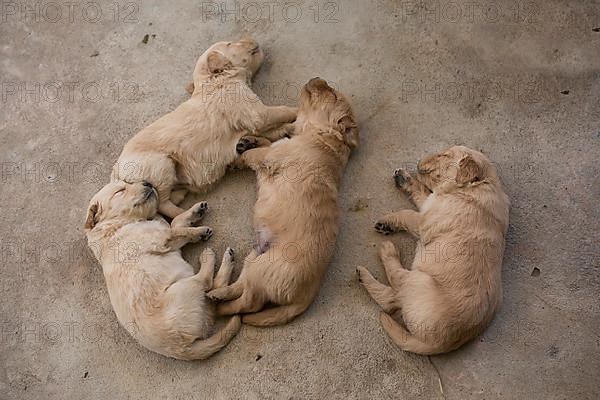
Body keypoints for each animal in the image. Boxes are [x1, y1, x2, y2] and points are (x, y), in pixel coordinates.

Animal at [84, 180, 241, 360]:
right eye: (120, 191)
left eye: (128, 183)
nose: (147, 182)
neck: (117, 224)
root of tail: (182, 350)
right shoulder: (161, 239)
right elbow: (178, 230)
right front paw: (198, 231)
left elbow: (176, 222)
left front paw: (194, 212)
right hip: (182, 288)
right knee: (207, 283)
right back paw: (208, 257)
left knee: (213, 295)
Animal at [111, 36, 296, 219]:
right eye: (230, 43)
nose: (252, 38)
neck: (214, 80)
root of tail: (116, 173)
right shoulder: (256, 113)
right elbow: (281, 111)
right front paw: (296, 111)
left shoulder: (251, 122)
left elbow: (273, 130)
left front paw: (286, 128)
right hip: (160, 166)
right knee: (161, 203)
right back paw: (190, 213)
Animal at [207, 79, 356, 328]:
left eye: (333, 95)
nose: (318, 78)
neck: (318, 135)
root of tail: (305, 297)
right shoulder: (273, 150)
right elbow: (267, 142)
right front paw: (250, 140)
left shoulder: (270, 158)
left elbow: (254, 154)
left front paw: (238, 157)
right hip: (254, 256)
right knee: (241, 287)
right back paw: (218, 295)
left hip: (262, 270)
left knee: (249, 303)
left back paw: (221, 308)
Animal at [358, 146, 508, 354]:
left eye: (444, 155)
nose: (420, 161)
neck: (472, 188)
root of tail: (438, 345)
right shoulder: (431, 201)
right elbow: (421, 192)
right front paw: (404, 179)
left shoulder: (424, 220)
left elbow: (406, 214)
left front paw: (388, 221)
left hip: (418, 281)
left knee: (391, 296)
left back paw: (384, 254)